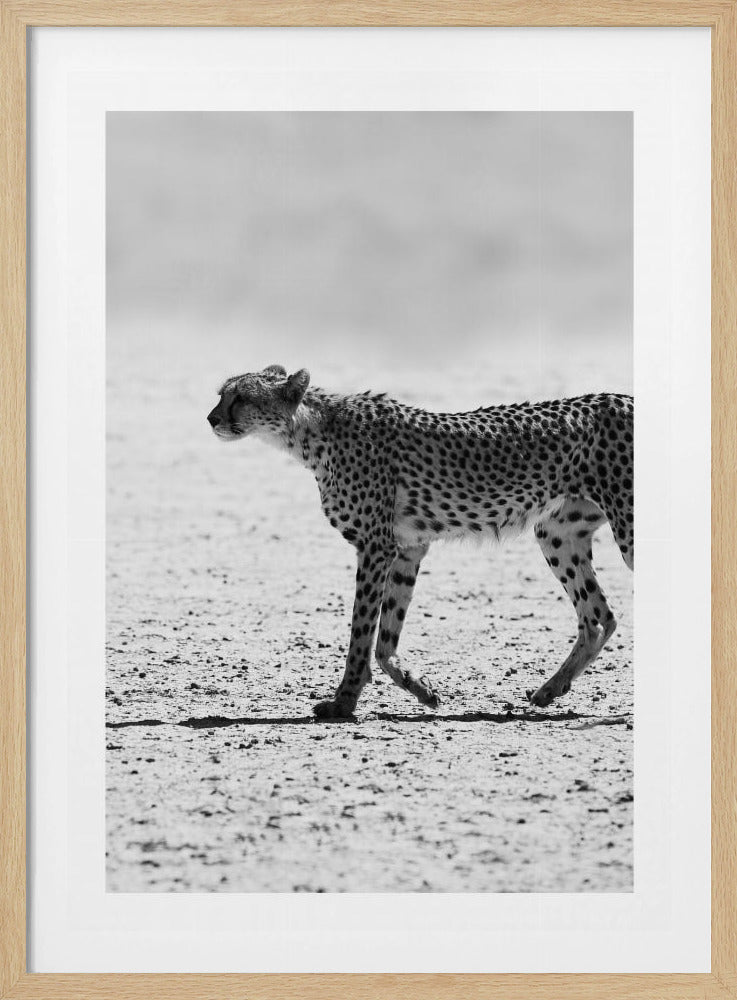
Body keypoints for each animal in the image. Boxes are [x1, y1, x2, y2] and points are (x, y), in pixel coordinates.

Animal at [207, 365, 634, 720]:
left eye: (240, 397)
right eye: (221, 394)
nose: (211, 418)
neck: (311, 430)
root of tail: (623, 397)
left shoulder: (375, 546)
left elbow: (361, 631)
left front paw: (343, 702)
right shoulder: (407, 547)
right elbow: (385, 638)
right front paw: (422, 690)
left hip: (626, 528)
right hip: (557, 533)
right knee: (599, 616)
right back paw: (550, 689)